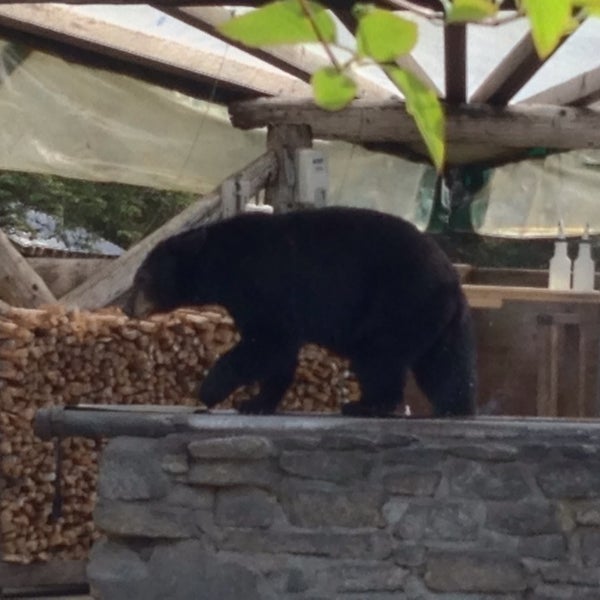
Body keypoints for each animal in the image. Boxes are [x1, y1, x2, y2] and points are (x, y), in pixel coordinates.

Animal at [124, 206, 476, 418]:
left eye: (141, 278)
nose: (127, 308)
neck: (223, 261)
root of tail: (452, 278)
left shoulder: (265, 281)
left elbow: (268, 341)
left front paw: (210, 390)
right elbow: (276, 352)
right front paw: (256, 402)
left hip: (398, 299)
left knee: (379, 355)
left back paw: (366, 404)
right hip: (438, 317)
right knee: (444, 363)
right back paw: (454, 407)